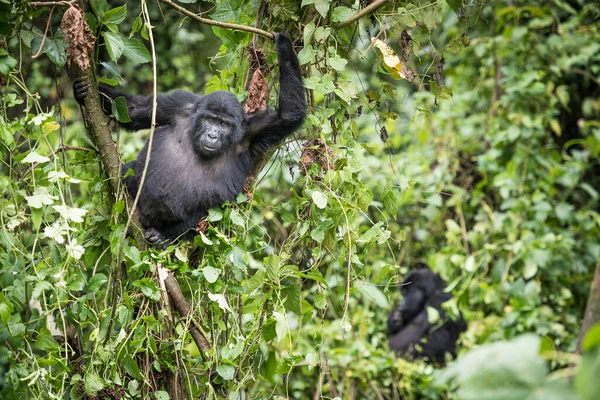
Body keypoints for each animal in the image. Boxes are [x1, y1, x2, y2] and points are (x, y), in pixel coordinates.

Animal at [75, 32, 308, 247]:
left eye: (223, 125)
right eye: (210, 119)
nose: (212, 134)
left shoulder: (253, 131)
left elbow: (288, 115)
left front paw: (284, 48)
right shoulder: (180, 104)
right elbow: (135, 109)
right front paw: (87, 89)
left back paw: (164, 236)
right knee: (129, 172)